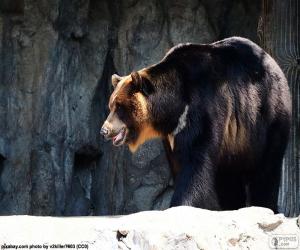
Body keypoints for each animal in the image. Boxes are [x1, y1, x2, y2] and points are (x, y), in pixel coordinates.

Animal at [100, 36, 290, 213]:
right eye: (111, 105)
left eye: (119, 106)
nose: (104, 130)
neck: (173, 108)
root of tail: (275, 64)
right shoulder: (172, 132)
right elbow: (178, 163)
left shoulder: (203, 107)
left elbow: (195, 161)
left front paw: (182, 204)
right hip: (235, 143)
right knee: (230, 177)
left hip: (268, 118)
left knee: (266, 170)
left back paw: (265, 205)